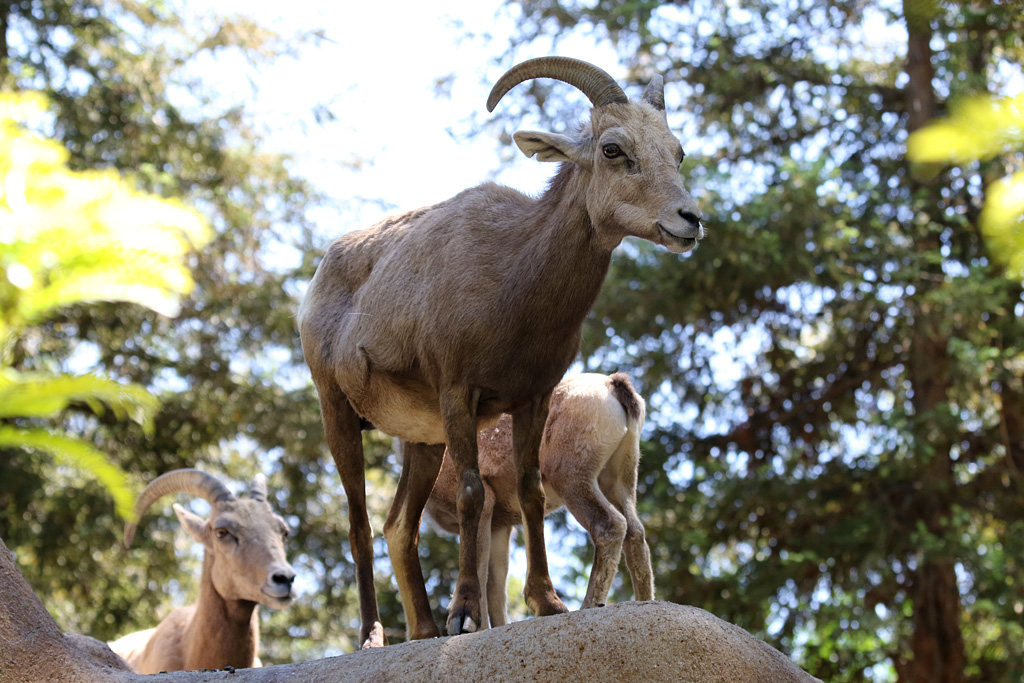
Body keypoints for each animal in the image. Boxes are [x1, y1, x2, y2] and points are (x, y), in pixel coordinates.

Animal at [421, 372, 654, 629]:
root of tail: (611, 384)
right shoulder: (500, 525)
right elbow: (496, 587)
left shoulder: (485, 505)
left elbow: (480, 573)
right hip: (618, 480)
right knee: (635, 532)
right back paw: (644, 602)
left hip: (571, 477)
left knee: (611, 525)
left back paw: (588, 606)